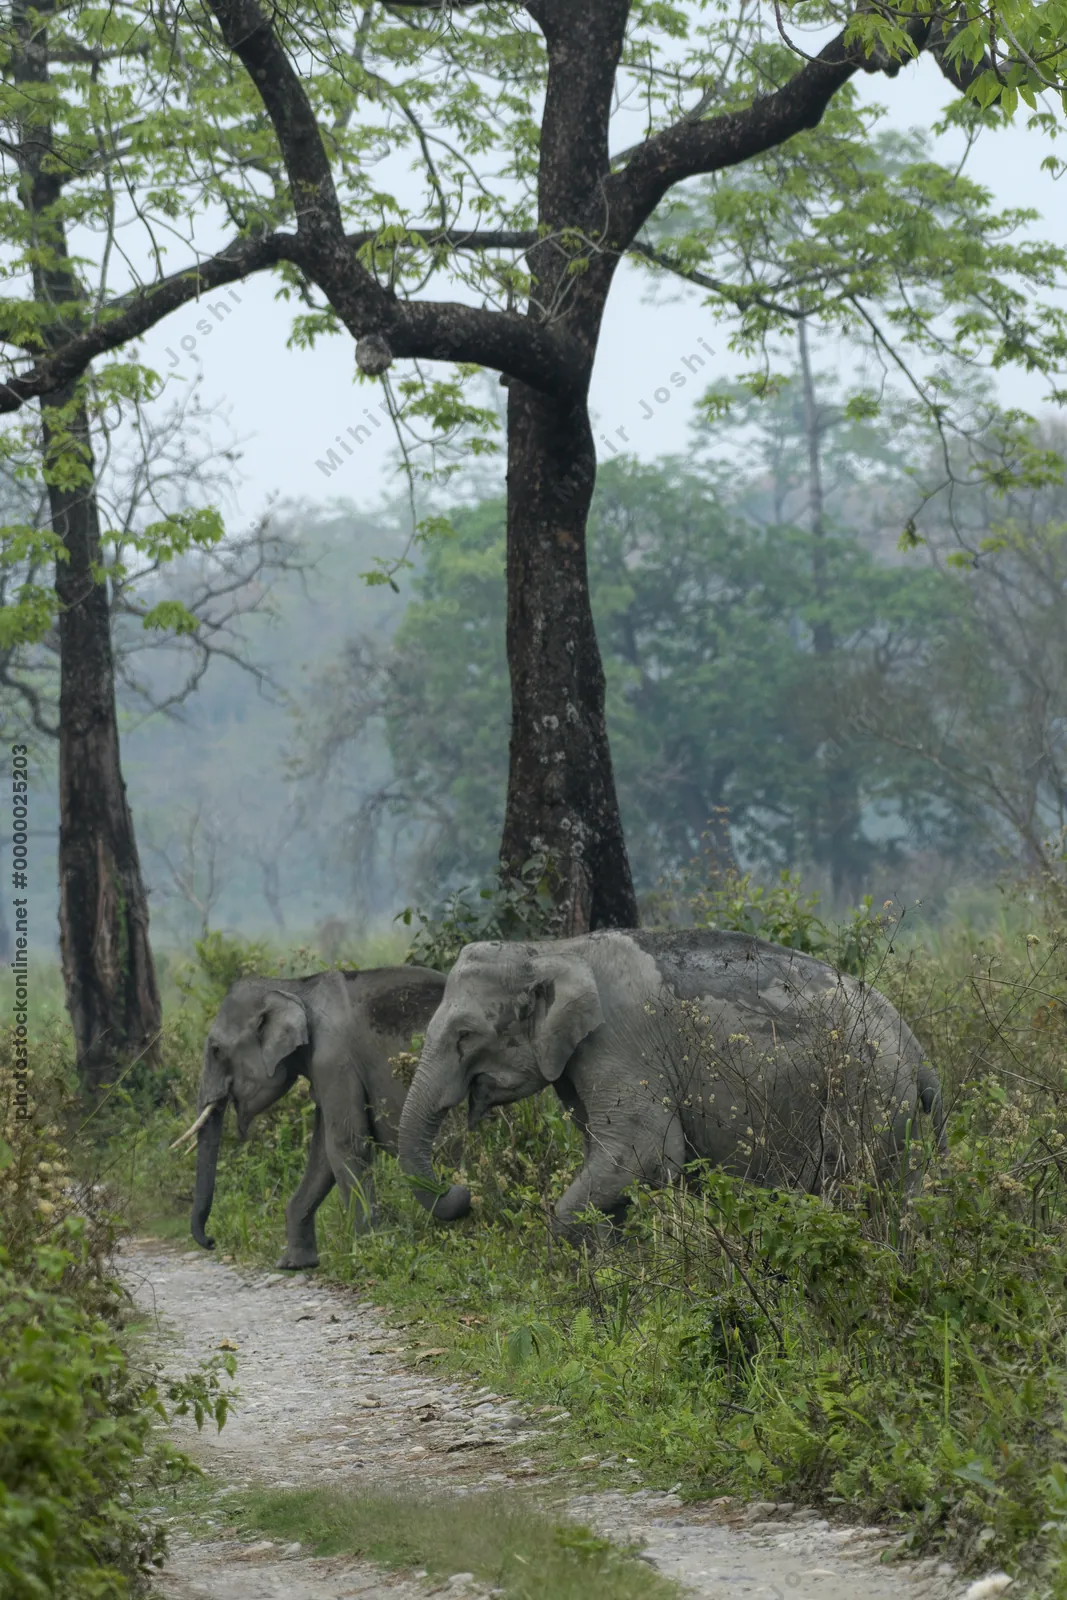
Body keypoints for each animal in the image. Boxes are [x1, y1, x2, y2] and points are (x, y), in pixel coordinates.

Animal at [175, 965, 445, 1268]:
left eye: (216, 1050)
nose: (211, 1242)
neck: (295, 988)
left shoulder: (334, 1061)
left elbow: (346, 1144)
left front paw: (367, 1253)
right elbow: (322, 1155)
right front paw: (294, 1264)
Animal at [397, 929, 944, 1239]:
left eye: (466, 1035)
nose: (461, 1193)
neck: (552, 950)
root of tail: (918, 1052)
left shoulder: (619, 1041)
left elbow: (643, 1153)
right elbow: (611, 1159)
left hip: (869, 1097)